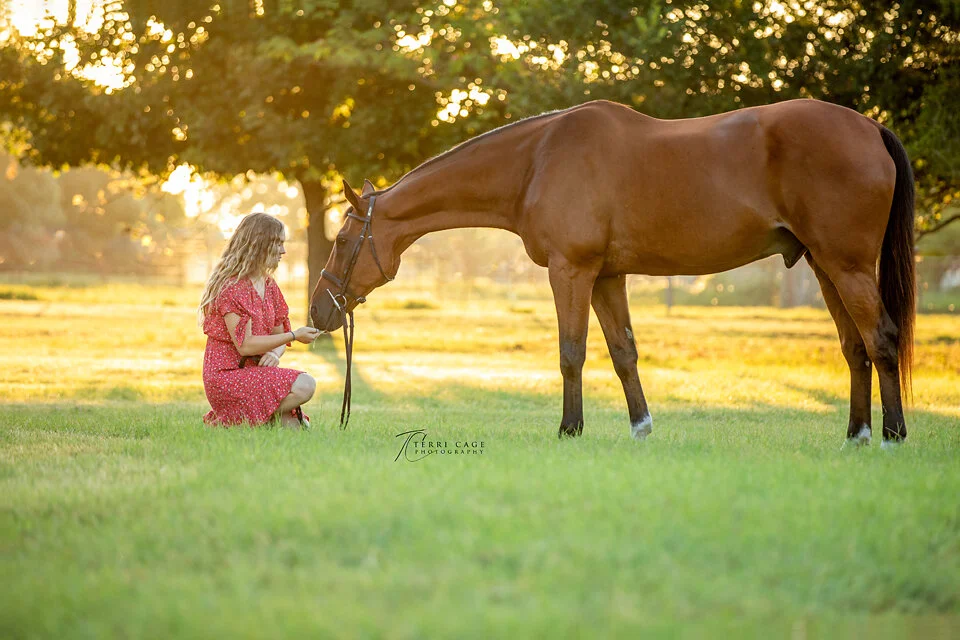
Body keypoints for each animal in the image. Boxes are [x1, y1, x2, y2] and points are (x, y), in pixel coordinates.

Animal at [310, 98, 915, 446]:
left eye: (341, 242)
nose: (319, 309)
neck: (537, 161)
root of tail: (871, 129)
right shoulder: (606, 276)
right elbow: (624, 352)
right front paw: (641, 429)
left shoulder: (571, 271)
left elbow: (571, 353)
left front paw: (569, 430)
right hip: (824, 266)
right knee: (855, 348)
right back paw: (857, 434)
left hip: (847, 264)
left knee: (881, 339)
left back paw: (892, 435)